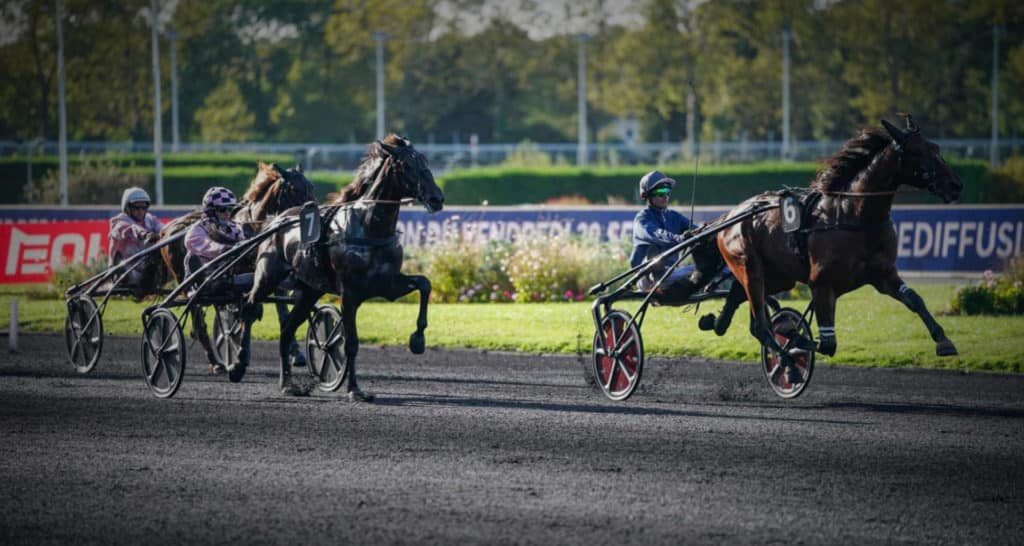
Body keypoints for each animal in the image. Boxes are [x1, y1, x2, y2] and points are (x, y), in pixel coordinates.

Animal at [159, 162, 315, 370]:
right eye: (293, 188)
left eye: (312, 187)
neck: (255, 229)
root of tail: (167, 229)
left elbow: (281, 312)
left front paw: (296, 352)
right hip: (186, 281)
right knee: (197, 318)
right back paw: (214, 361)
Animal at [246, 135, 444, 399]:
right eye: (407, 165)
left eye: (425, 162)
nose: (436, 199)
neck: (369, 226)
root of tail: (276, 220)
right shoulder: (349, 294)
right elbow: (351, 343)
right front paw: (354, 389)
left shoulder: (388, 284)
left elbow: (424, 284)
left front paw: (418, 339)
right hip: (267, 276)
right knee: (249, 306)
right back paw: (237, 363)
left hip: (309, 291)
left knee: (286, 329)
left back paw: (287, 383)